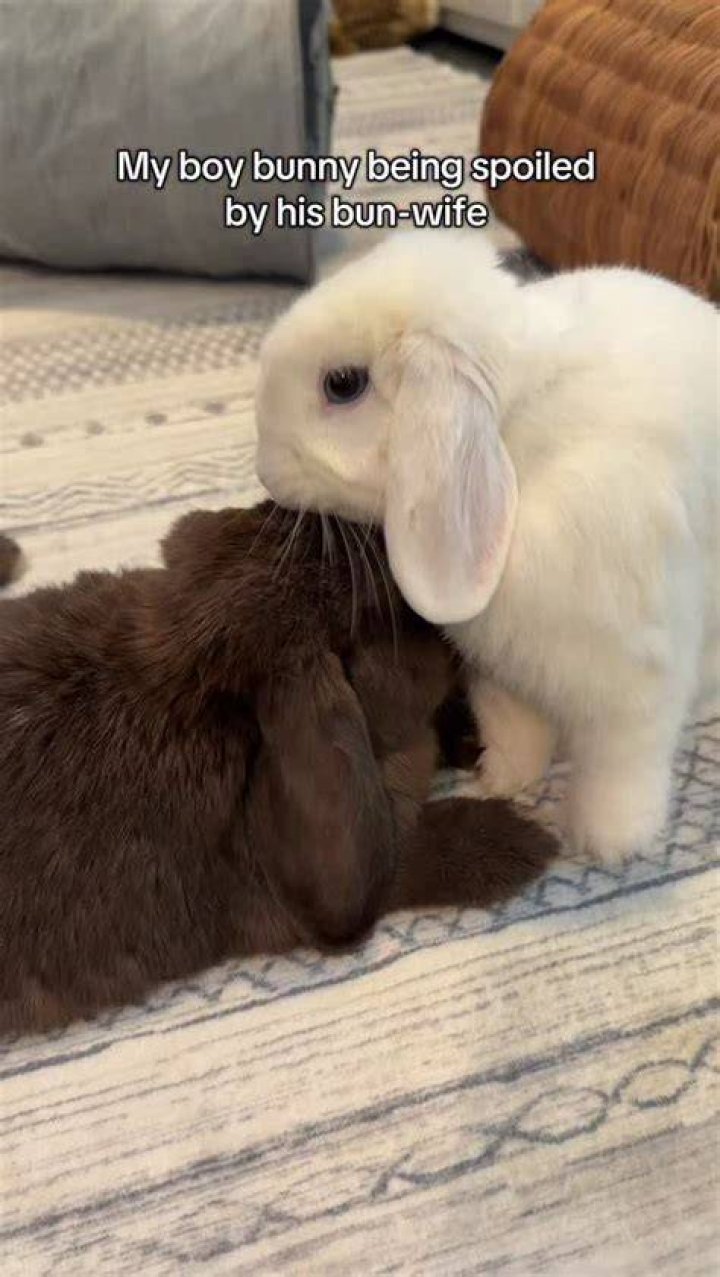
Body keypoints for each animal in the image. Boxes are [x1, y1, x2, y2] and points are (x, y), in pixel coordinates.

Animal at [254, 229, 719, 865]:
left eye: (343, 384)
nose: (265, 472)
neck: (516, 444)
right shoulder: (502, 675)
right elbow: (513, 729)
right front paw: (502, 782)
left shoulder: (636, 681)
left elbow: (622, 767)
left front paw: (606, 842)